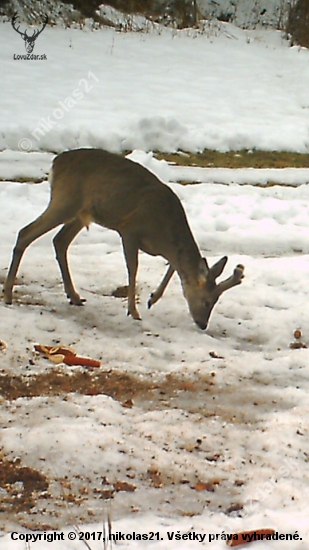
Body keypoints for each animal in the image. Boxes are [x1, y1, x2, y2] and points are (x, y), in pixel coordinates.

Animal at [2, 149, 243, 330]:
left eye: (216, 301)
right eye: (207, 301)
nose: (202, 324)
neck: (163, 233)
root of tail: (55, 162)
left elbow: (172, 266)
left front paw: (152, 299)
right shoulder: (129, 229)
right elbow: (133, 267)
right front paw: (134, 310)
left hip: (81, 212)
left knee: (59, 241)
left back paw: (74, 296)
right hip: (65, 200)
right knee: (25, 232)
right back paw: (7, 295)